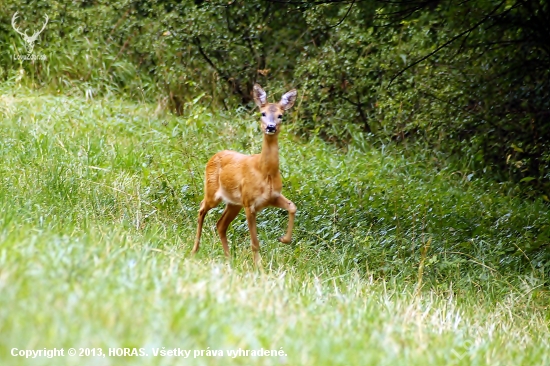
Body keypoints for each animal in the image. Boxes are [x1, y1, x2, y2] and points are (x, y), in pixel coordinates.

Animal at [193, 84, 300, 264]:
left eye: (280, 115)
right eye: (263, 113)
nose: (271, 127)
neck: (265, 172)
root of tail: (213, 156)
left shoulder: (273, 197)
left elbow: (292, 206)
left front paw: (284, 239)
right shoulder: (250, 203)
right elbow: (254, 243)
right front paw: (259, 267)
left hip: (234, 203)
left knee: (220, 224)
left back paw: (228, 258)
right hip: (213, 192)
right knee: (201, 209)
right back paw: (195, 249)